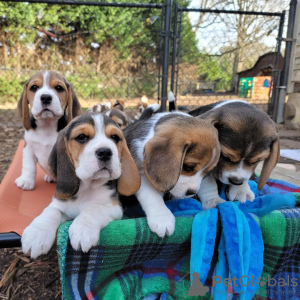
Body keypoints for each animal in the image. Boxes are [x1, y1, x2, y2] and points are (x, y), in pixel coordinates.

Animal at [21, 112, 141, 258]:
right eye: (82, 137)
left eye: (115, 137)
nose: (105, 152)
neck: (87, 187)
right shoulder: (60, 203)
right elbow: (51, 212)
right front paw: (36, 234)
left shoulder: (114, 207)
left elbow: (93, 209)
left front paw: (82, 230)